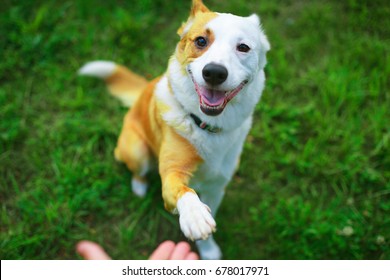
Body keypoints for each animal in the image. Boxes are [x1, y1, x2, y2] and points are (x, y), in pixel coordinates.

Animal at [78, 0, 270, 260]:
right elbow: (182, 190)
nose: (214, 72)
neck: (207, 126)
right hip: (137, 150)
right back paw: (139, 186)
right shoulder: (172, 172)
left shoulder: (216, 187)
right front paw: (195, 216)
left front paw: (208, 251)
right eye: (201, 41)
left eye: (243, 47)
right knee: (134, 167)